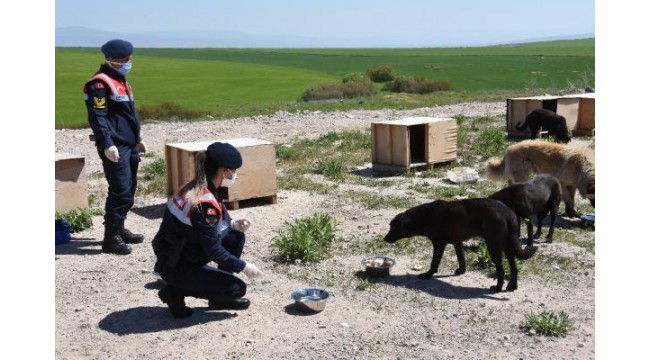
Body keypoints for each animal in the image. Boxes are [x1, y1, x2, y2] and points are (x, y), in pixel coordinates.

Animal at [382, 198, 536, 294]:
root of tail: (507, 212)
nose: (385, 238)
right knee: (514, 267)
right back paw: (512, 286)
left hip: (493, 245)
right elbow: (461, 258)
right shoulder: (457, 242)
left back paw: (497, 288)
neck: (423, 216)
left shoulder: (438, 244)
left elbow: (434, 262)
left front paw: (427, 275)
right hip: (508, 245)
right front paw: (461, 271)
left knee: (502, 270)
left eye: (393, 227)